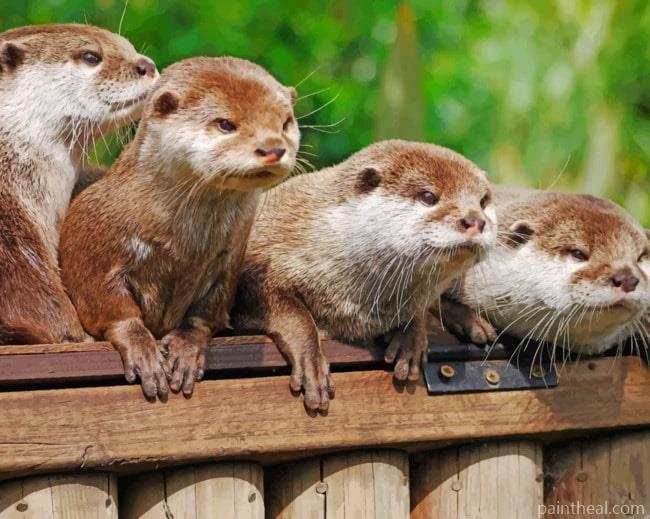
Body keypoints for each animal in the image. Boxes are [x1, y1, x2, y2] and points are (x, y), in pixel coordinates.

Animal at [60, 57, 299, 399]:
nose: (273, 148)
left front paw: (187, 349)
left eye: (285, 123)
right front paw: (143, 351)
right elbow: (111, 307)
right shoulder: (91, 244)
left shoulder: (228, 260)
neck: (182, 251)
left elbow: (206, 313)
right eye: (225, 123)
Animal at [233, 140, 497, 411]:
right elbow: (292, 313)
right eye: (428, 197)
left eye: (483, 201)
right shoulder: (260, 258)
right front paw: (312, 364)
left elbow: (420, 308)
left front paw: (410, 339)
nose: (475, 220)